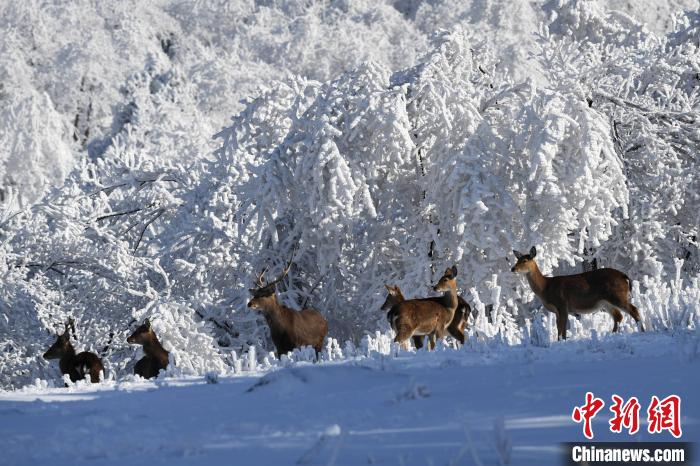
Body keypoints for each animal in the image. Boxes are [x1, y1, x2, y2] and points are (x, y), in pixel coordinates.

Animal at [508, 246, 644, 340]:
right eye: (517, 259)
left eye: (525, 260)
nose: (513, 268)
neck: (545, 287)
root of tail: (624, 276)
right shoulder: (557, 310)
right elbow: (558, 328)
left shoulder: (562, 304)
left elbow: (563, 329)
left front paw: (562, 341)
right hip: (605, 302)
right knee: (618, 316)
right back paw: (612, 335)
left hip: (616, 295)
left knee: (633, 310)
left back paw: (642, 331)